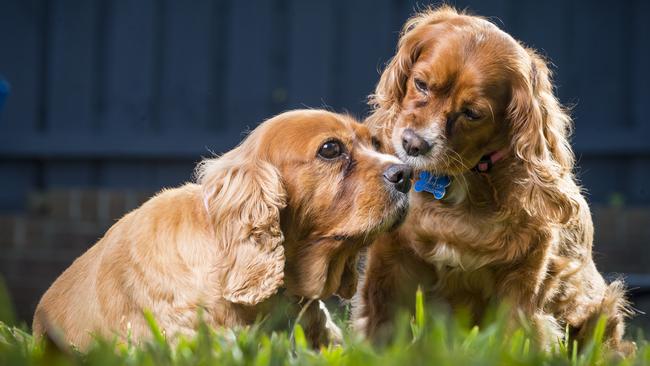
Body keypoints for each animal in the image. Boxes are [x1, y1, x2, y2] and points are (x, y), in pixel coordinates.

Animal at [352, 6, 632, 354]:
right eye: (421, 84)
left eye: (472, 113)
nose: (413, 144)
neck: (461, 181)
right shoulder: (390, 263)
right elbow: (379, 325)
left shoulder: (523, 279)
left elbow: (513, 338)